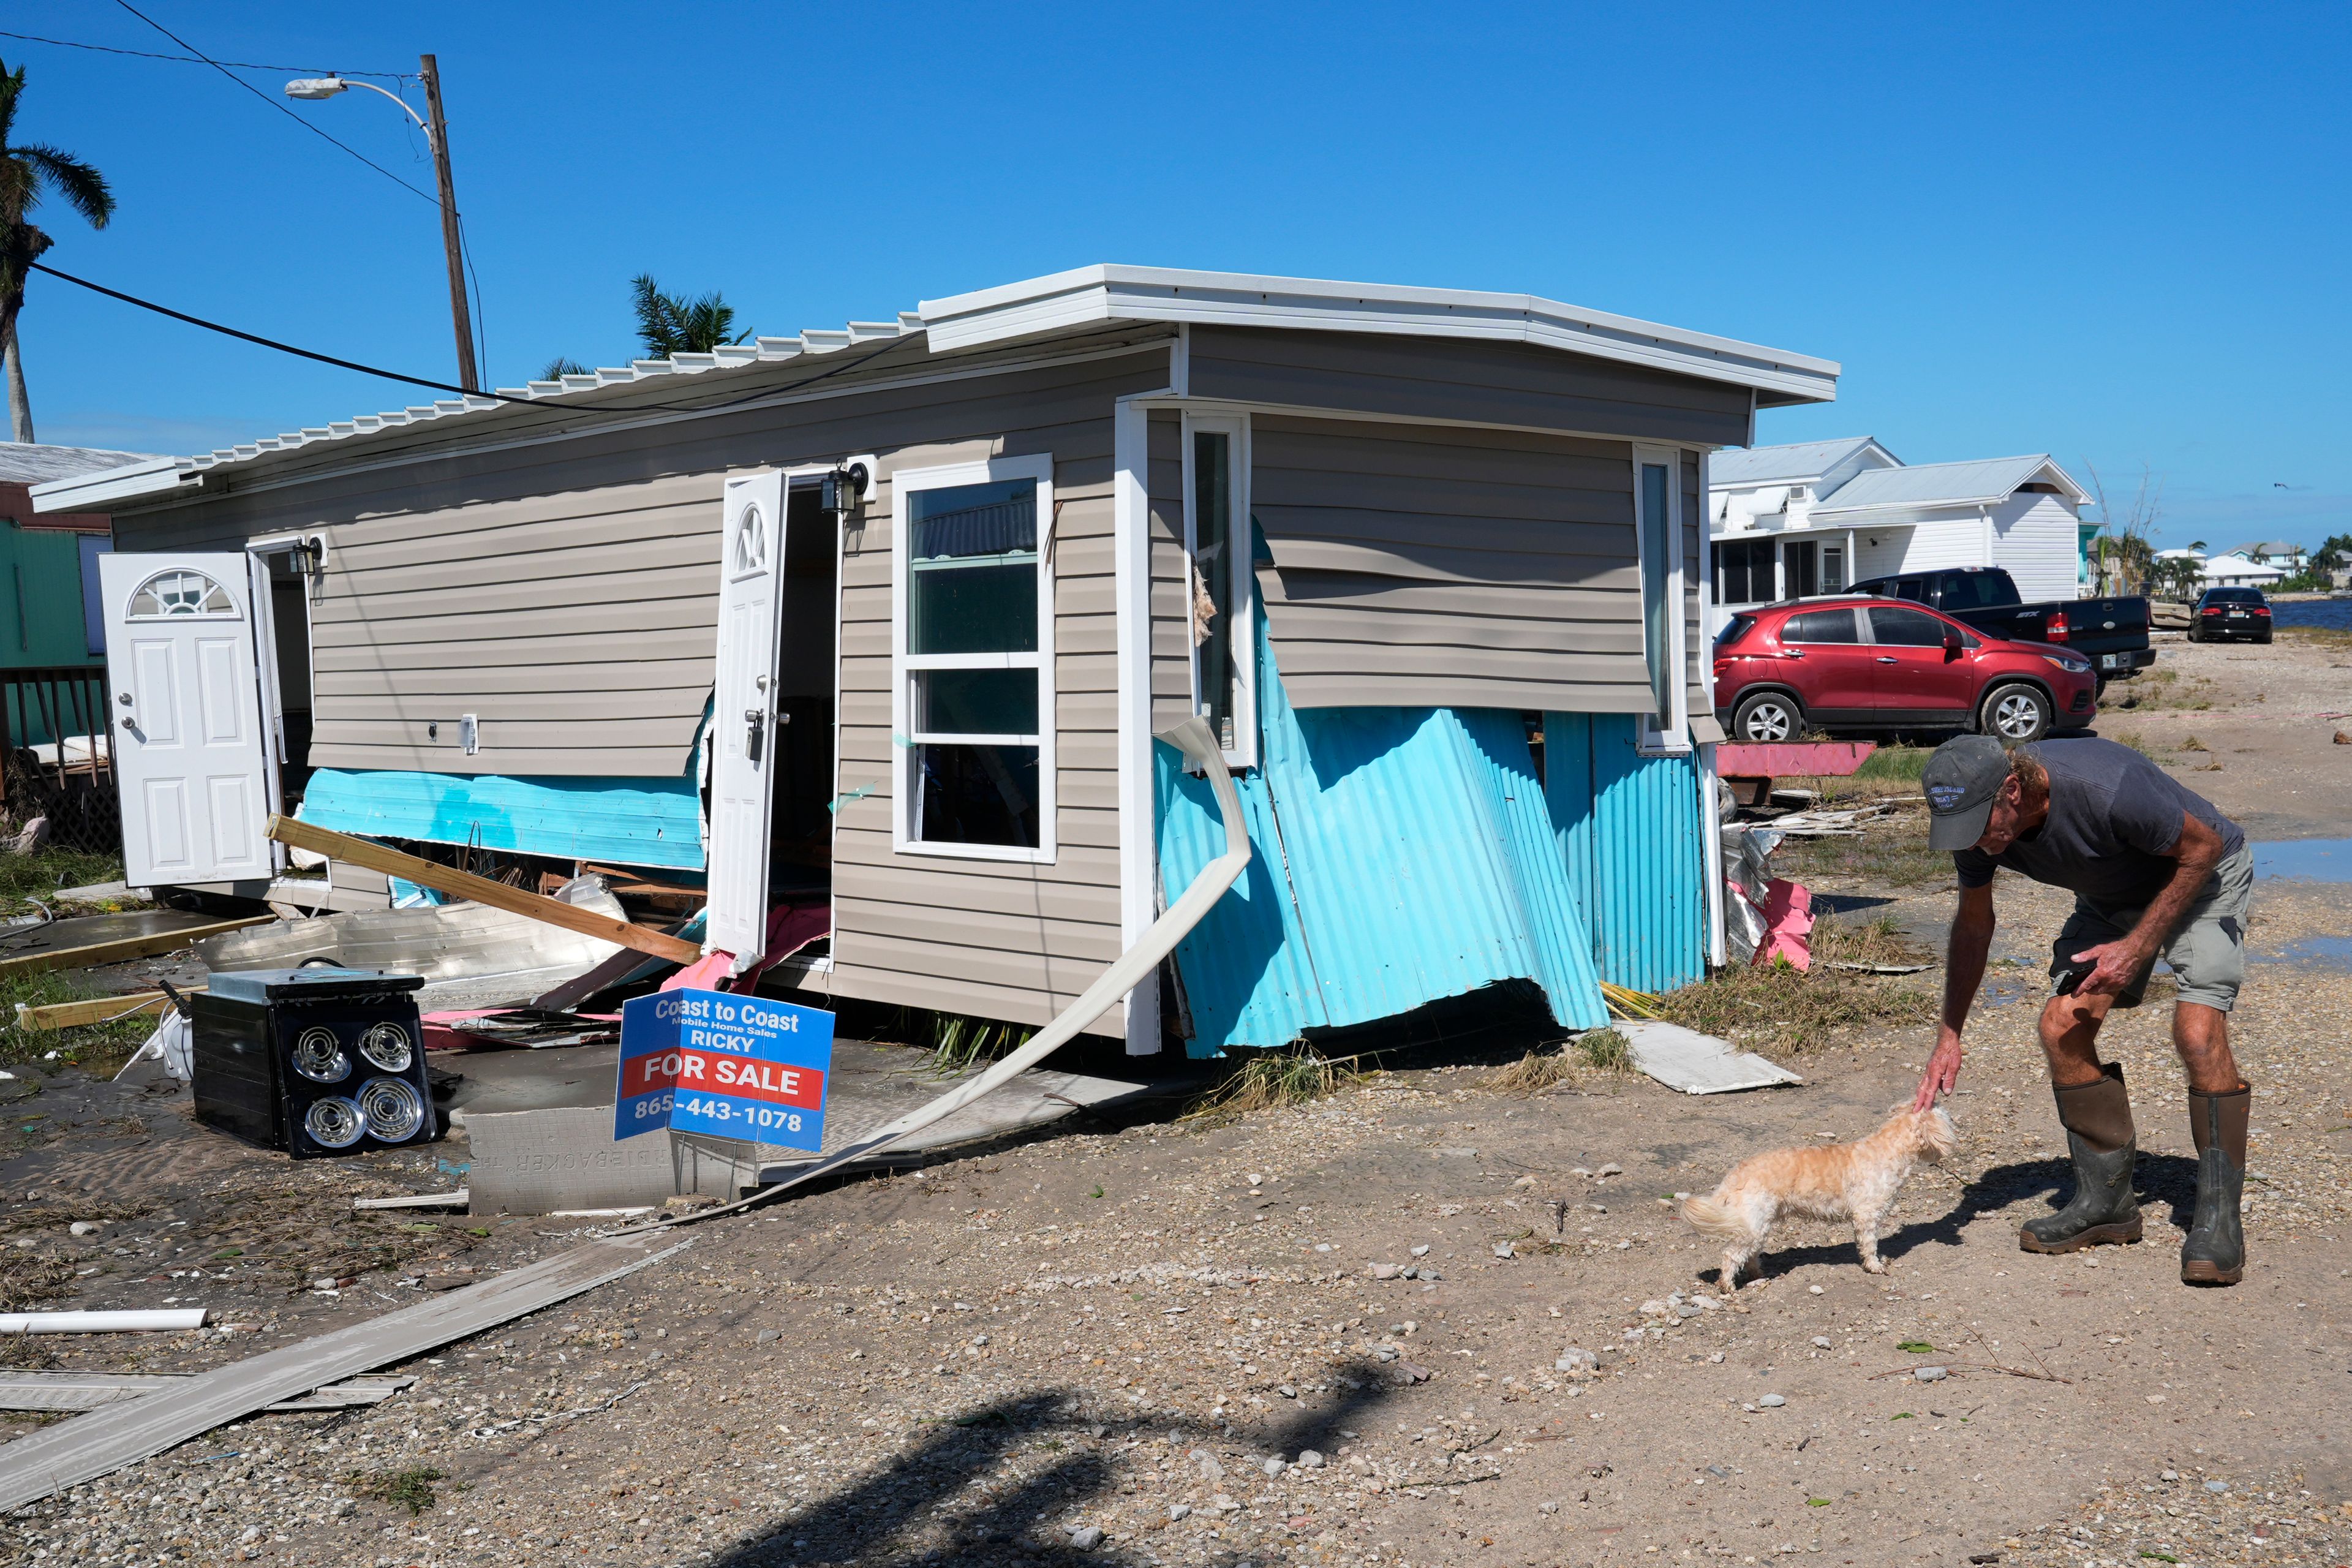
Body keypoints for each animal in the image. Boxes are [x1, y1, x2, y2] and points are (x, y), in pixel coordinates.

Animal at [1684, 1104, 1956, 1288]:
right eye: (1947, 1118)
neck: (1888, 1149)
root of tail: (1735, 1175)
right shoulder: (1867, 1216)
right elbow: (1869, 1245)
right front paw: (1875, 1266)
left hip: (1757, 1225)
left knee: (1749, 1255)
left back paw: (1757, 1274)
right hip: (1752, 1225)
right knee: (1731, 1255)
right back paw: (1728, 1285)